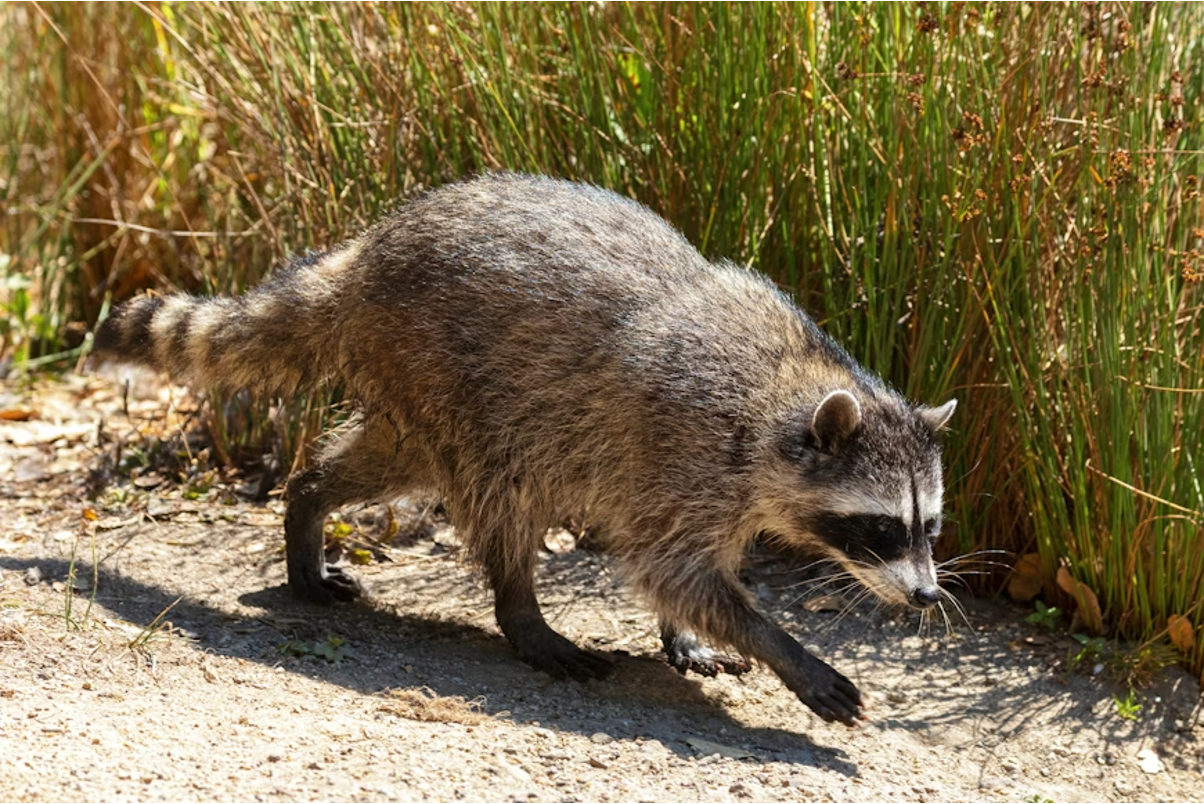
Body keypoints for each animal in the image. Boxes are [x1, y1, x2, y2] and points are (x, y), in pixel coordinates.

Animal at [92, 173, 956, 727]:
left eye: (931, 528)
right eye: (881, 530)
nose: (924, 596)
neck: (789, 384)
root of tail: (366, 252)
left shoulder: (709, 481)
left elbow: (681, 574)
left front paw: (683, 632)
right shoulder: (683, 447)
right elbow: (674, 568)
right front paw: (788, 652)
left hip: (418, 384)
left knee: (385, 457)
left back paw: (305, 501)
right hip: (451, 374)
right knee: (501, 493)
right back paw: (522, 614)